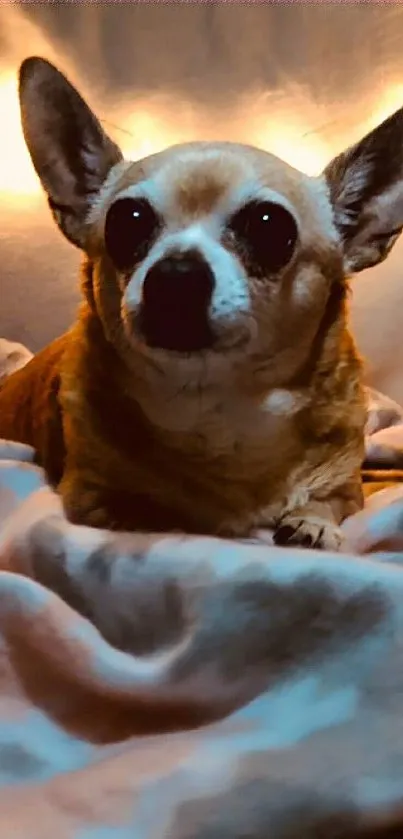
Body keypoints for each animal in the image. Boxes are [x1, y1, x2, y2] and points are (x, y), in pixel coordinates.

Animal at [0, 55, 403, 548]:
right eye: (127, 220)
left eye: (269, 226)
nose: (175, 275)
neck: (220, 412)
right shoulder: (92, 497)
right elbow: (152, 515)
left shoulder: (348, 488)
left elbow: (328, 500)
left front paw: (312, 522)